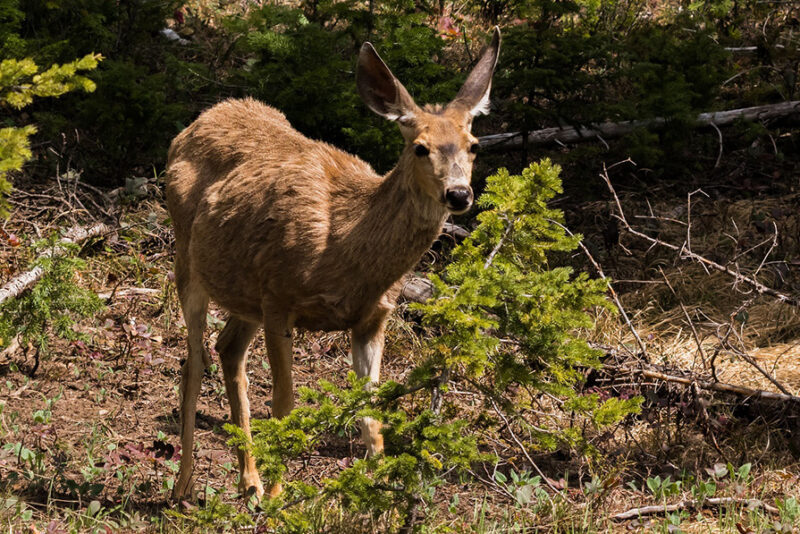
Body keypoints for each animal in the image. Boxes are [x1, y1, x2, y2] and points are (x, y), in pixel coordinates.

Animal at [163, 26, 500, 502]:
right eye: (420, 148)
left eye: (474, 145)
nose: (458, 194)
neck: (346, 244)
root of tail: (199, 120)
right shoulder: (280, 298)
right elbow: (284, 403)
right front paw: (280, 497)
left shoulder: (372, 318)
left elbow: (372, 412)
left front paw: (380, 493)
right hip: (188, 261)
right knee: (192, 363)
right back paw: (185, 485)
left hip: (244, 293)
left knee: (227, 350)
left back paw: (249, 482)